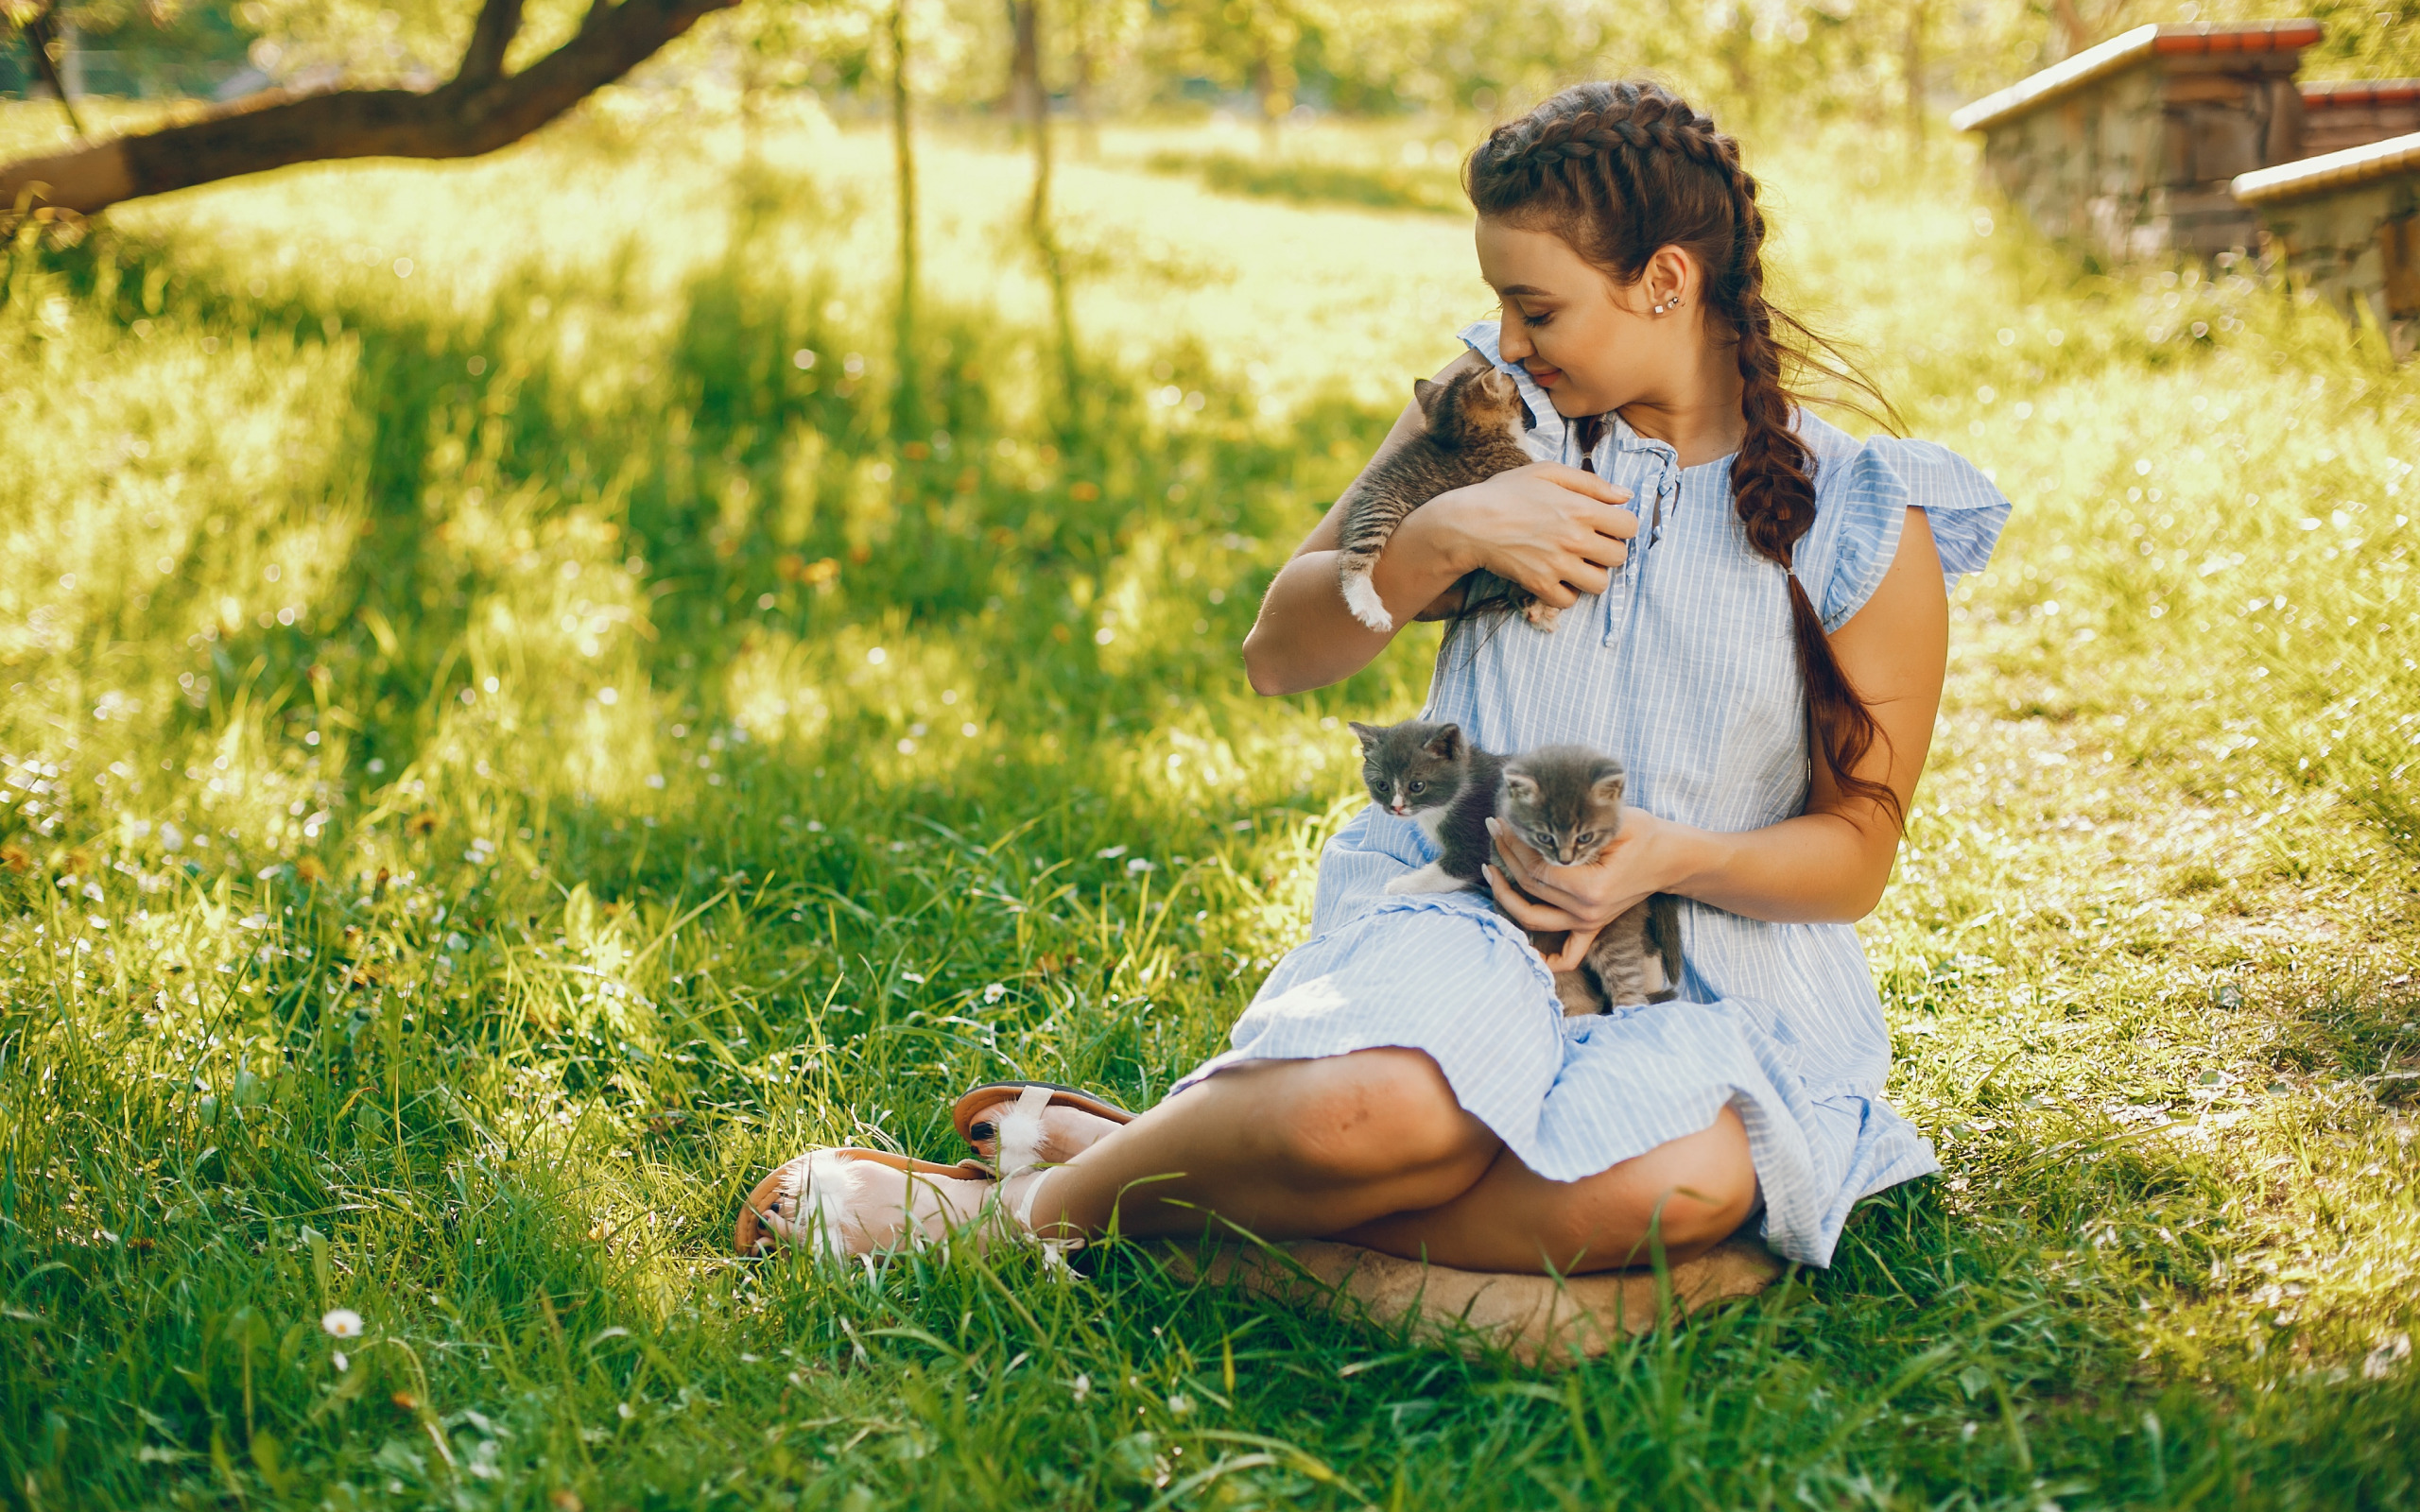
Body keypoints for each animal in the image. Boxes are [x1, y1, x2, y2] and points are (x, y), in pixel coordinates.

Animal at [1336, 368, 1539, 633]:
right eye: (1515, 387)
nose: (1534, 420)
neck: (1478, 440)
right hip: (1380, 510)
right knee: (1349, 561)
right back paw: (1370, 609)